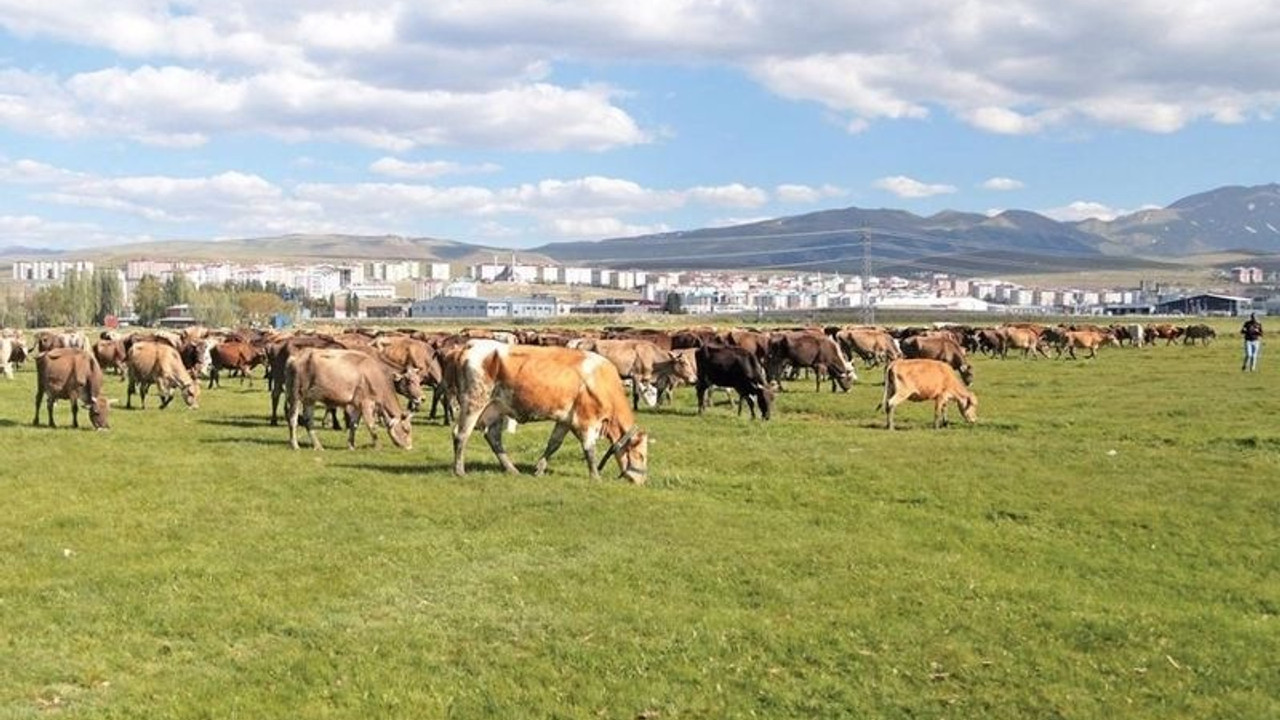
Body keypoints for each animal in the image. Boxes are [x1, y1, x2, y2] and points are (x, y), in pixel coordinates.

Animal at [285, 348, 414, 448]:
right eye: (406, 429)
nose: (409, 446)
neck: (373, 375)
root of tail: (296, 357)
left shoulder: (357, 404)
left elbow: (354, 424)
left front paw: (351, 445)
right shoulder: (366, 403)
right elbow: (372, 426)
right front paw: (378, 446)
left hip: (309, 399)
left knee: (308, 420)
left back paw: (318, 446)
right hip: (295, 395)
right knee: (293, 419)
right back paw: (295, 445)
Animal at [450, 340, 650, 481]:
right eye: (640, 455)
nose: (642, 481)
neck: (602, 381)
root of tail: (470, 344)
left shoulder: (565, 420)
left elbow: (553, 444)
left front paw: (539, 468)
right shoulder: (586, 421)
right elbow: (589, 449)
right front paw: (595, 477)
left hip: (495, 408)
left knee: (493, 438)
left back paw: (512, 469)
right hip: (474, 403)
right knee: (461, 434)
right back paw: (459, 471)